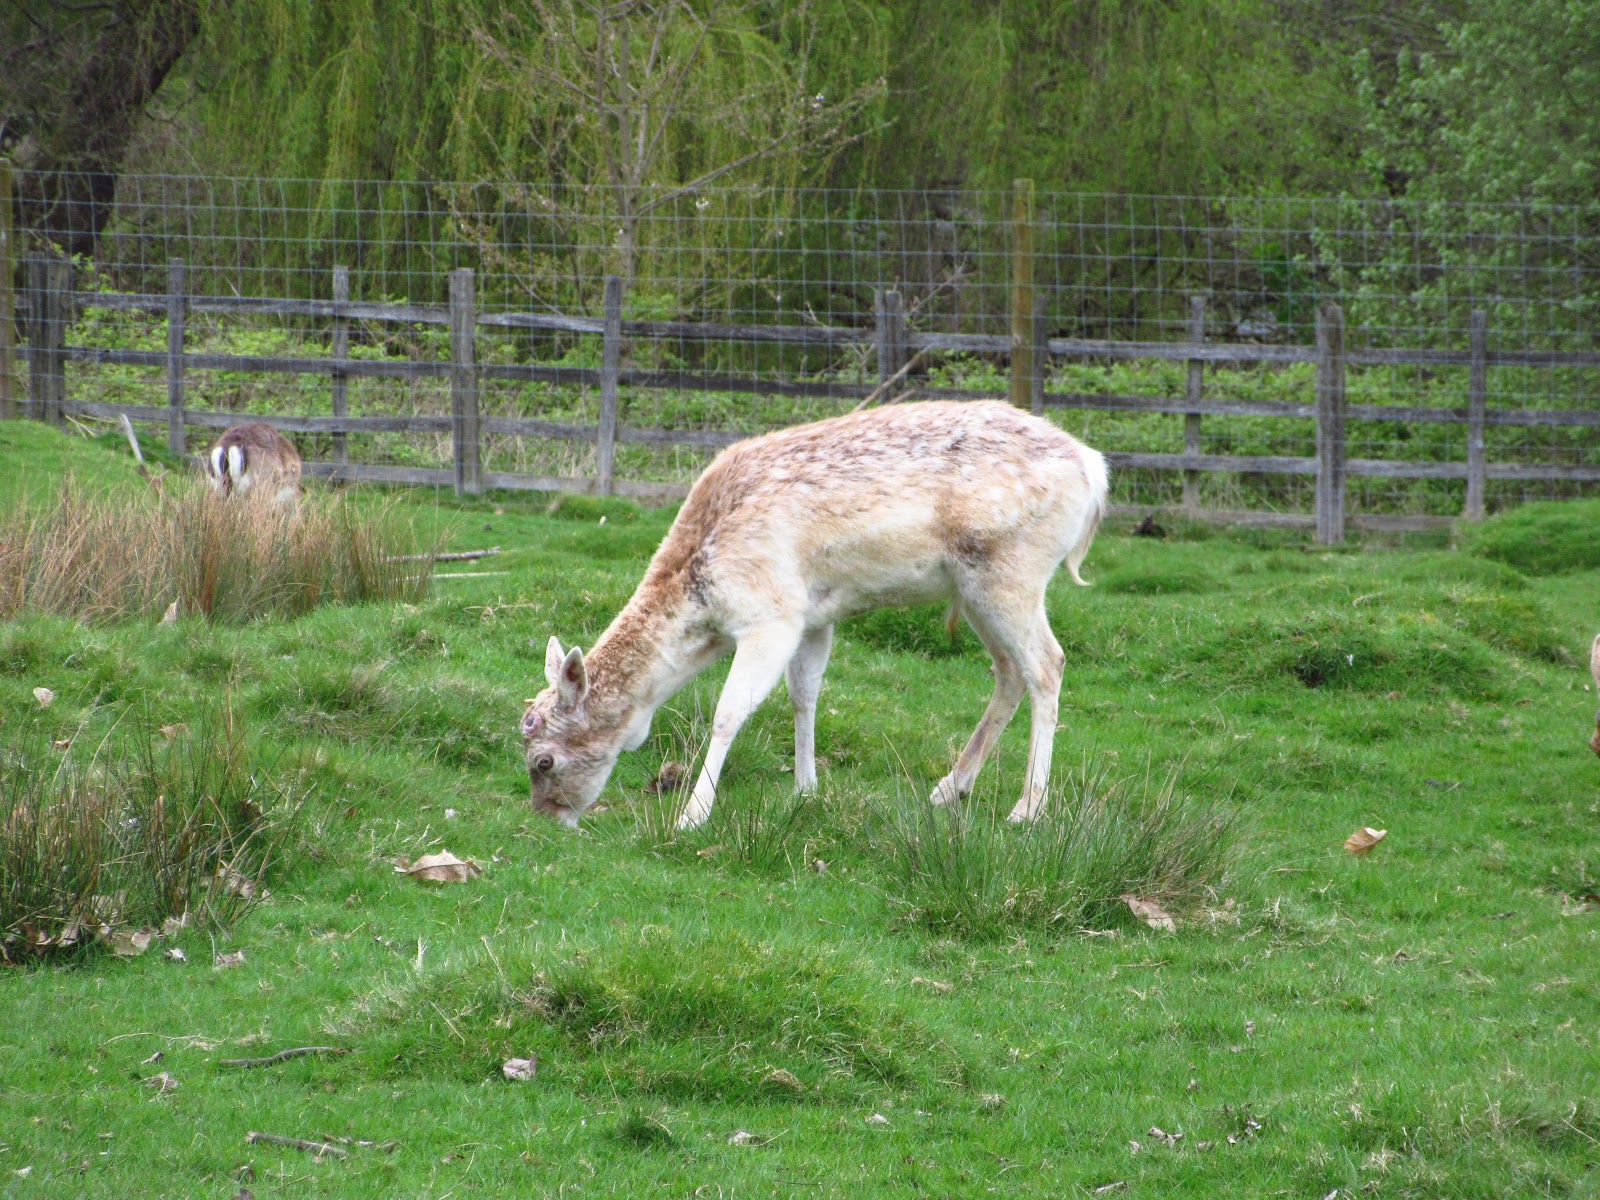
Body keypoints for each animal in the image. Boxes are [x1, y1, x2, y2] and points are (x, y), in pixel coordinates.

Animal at [519, 400, 1109, 831]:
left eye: (543, 760)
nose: (548, 816)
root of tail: (1094, 468)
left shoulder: (771, 614)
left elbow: (730, 711)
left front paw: (693, 815)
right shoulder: (814, 616)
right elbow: (804, 695)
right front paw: (806, 789)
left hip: (1013, 571)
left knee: (1047, 664)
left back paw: (1026, 809)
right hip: (975, 588)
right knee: (1008, 672)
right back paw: (948, 789)